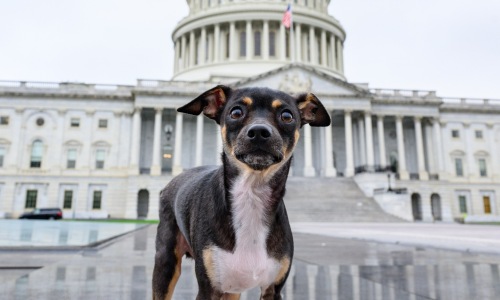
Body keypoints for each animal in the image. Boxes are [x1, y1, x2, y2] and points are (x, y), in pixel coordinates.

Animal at [154, 85, 330, 300]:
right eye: (236, 112)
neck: (251, 194)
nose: (259, 131)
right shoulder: (207, 289)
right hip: (165, 264)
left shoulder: (272, 289)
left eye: (287, 116)